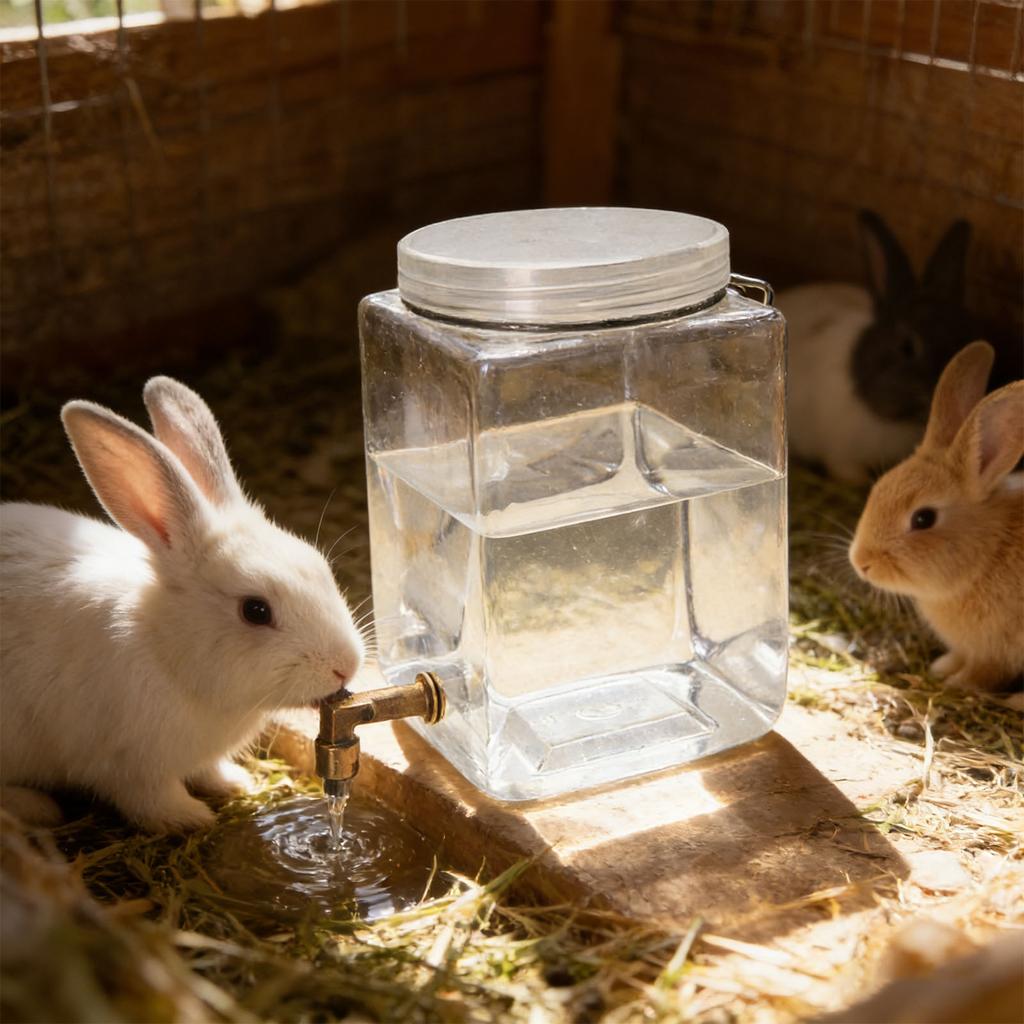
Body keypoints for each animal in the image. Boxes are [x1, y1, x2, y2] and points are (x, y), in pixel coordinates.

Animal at [0, 377, 364, 831]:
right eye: (255, 610)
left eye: (321, 567)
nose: (345, 666)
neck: (167, 654)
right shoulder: (127, 766)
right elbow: (151, 800)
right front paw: (192, 819)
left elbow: (208, 770)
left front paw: (235, 784)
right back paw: (36, 808)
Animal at [849, 341, 1024, 693]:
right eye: (878, 487)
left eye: (923, 519)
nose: (861, 563)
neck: (989, 554)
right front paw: (941, 667)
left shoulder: (998, 652)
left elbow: (982, 674)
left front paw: (955, 684)